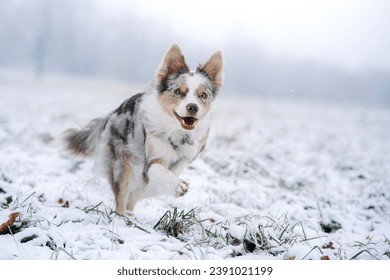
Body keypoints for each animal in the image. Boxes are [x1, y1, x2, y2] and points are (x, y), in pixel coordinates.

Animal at [63, 44, 222, 214]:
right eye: (178, 92)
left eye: (203, 95)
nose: (192, 107)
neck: (177, 132)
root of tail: (113, 113)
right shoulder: (151, 159)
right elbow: (158, 170)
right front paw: (178, 185)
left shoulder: (185, 158)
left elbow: (167, 174)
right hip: (124, 163)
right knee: (122, 195)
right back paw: (121, 217)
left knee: (135, 196)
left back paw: (131, 215)